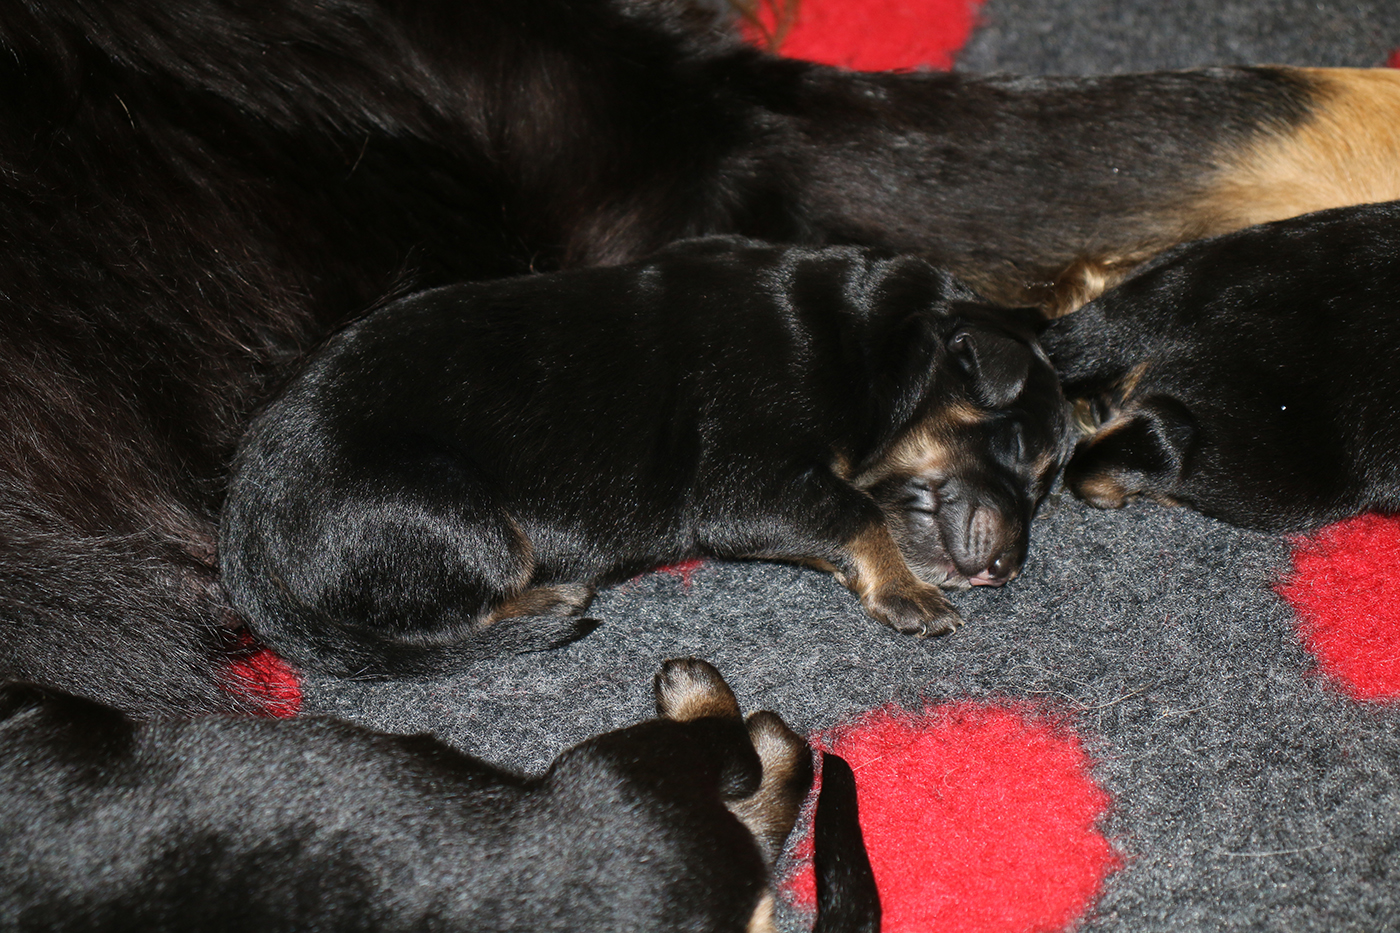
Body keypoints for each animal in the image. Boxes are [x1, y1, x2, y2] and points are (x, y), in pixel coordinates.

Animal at [218, 239, 1071, 675]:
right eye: (1018, 447)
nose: (1010, 568)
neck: (869, 343)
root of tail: (244, 523)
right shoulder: (746, 484)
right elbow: (855, 509)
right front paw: (909, 591)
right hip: (459, 517)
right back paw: (549, 598)